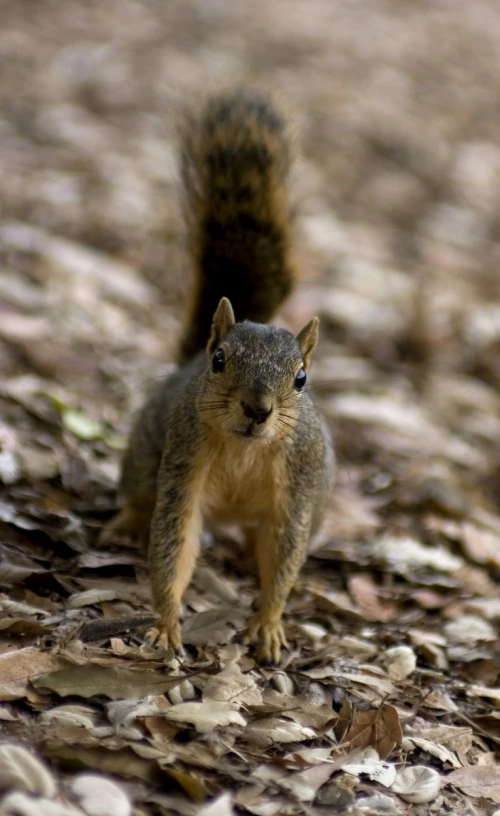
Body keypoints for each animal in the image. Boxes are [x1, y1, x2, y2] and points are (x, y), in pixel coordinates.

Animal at [100, 87, 336, 664]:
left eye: (302, 378)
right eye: (221, 361)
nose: (257, 409)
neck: (247, 450)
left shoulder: (297, 492)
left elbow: (285, 556)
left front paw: (269, 625)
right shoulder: (184, 466)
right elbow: (174, 540)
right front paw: (165, 624)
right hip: (146, 454)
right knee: (141, 495)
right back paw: (127, 523)